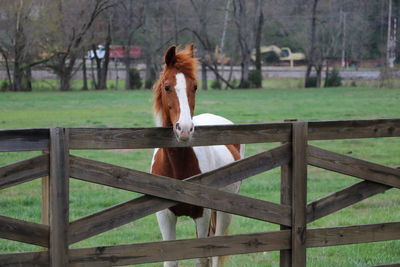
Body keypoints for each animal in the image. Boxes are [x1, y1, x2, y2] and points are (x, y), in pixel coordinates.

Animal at [151, 45, 242, 267]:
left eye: (195, 87)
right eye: (167, 87)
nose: (184, 129)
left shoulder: (202, 215)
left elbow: (202, 259)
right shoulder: (164, 216)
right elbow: (171, 261)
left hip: (224, 212)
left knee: (216, 252)